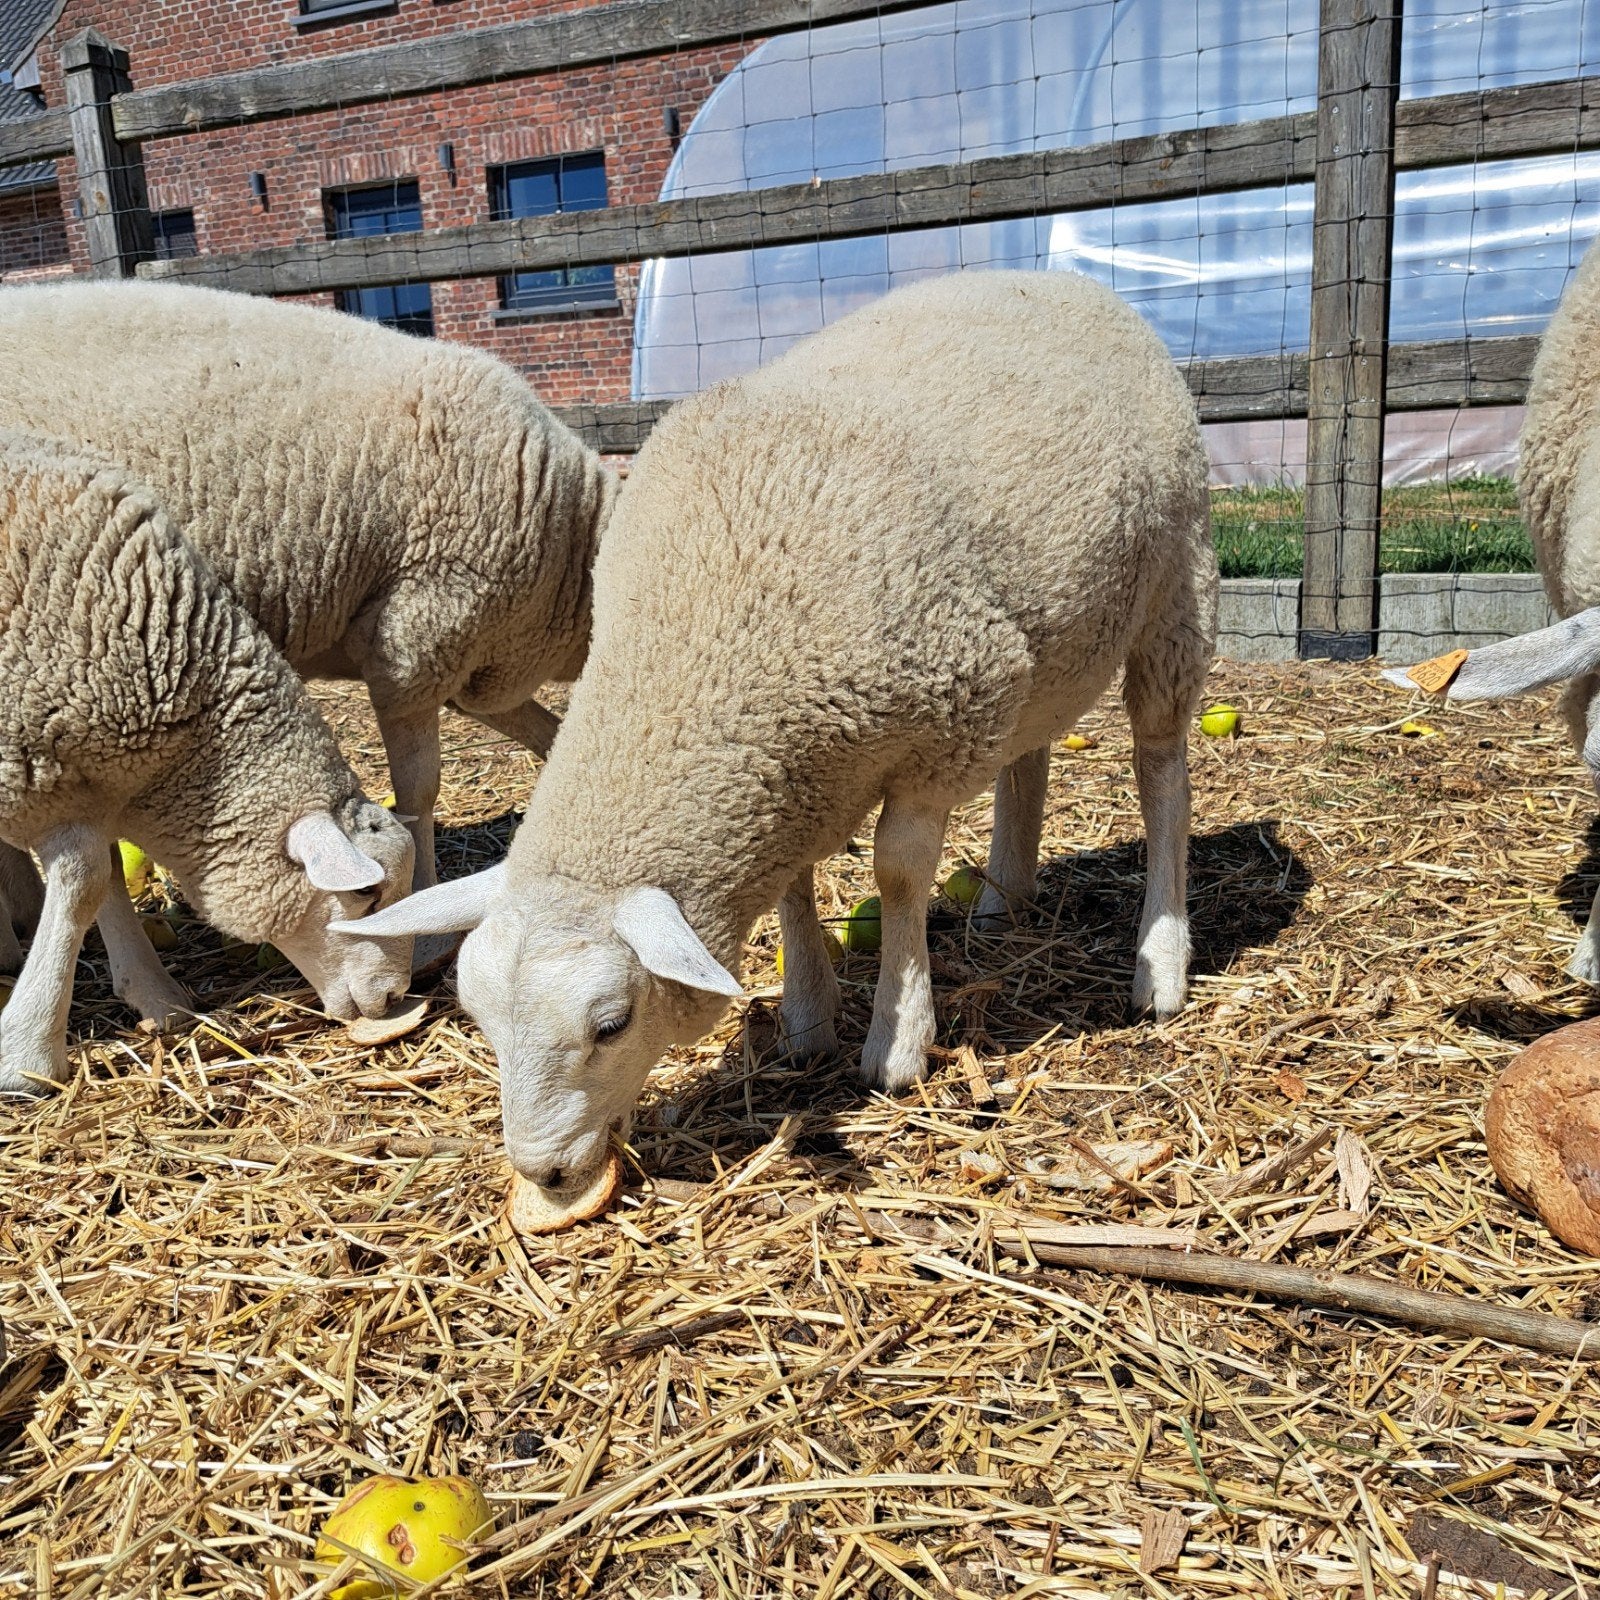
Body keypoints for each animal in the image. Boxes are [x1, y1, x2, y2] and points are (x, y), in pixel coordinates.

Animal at [0, 429, 415, 1094]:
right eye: (368, 897)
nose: (397, 995)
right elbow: (85, 880)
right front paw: (30, 1052)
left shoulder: (89, 777)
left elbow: (100, 876)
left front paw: (154, 995)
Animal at [338, 268, 1218, 1199]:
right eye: (477, 1014)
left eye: (612, 1024)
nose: (543, 1171)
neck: (704, 636)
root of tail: (1064, 281)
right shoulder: (789, 764)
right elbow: (794, 883)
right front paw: (804, 1017)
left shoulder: (948, 714)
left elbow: (898, 874)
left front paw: (896, 1039)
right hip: (1051, 639)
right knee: (1032, 754)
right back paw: (1004, 897)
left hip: (1177, 579)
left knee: (1162, 770)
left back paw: (1160, 962)